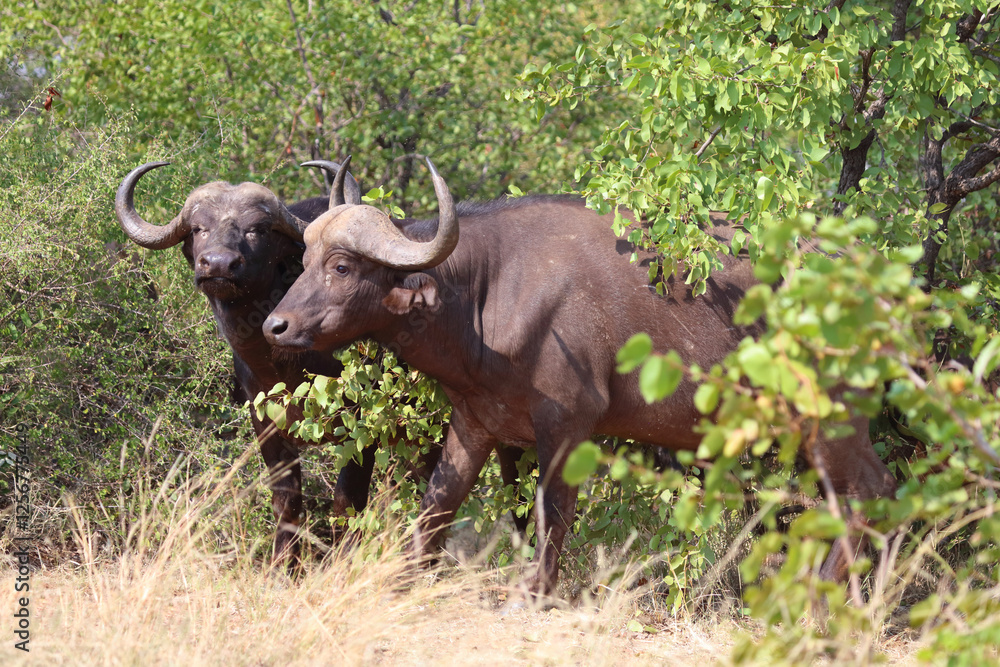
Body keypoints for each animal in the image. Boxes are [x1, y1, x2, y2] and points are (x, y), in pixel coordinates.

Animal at [263, 157, 897, 593]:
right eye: (303, 261)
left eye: (342, 266)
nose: (275, 326)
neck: (486, 293)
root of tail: (872, 278)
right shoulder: (475, 425)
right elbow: (436, 509)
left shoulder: (567, 427)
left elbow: (552, 517)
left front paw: (535, 595)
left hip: (832, 420)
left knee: (869, 492)